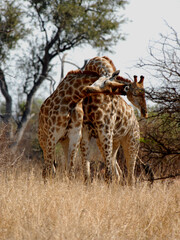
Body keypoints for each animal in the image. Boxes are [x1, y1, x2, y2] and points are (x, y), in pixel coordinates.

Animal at [79, 56, 148, 184]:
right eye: (136, 93)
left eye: (143, 94)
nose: (145, 112)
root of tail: (136, 122)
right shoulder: (85, 133)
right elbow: (86, 173)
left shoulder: (105, 132)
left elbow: (108, 174)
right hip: (112, 143)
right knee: (118, 173)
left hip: (132, 143)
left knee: (130, 176)